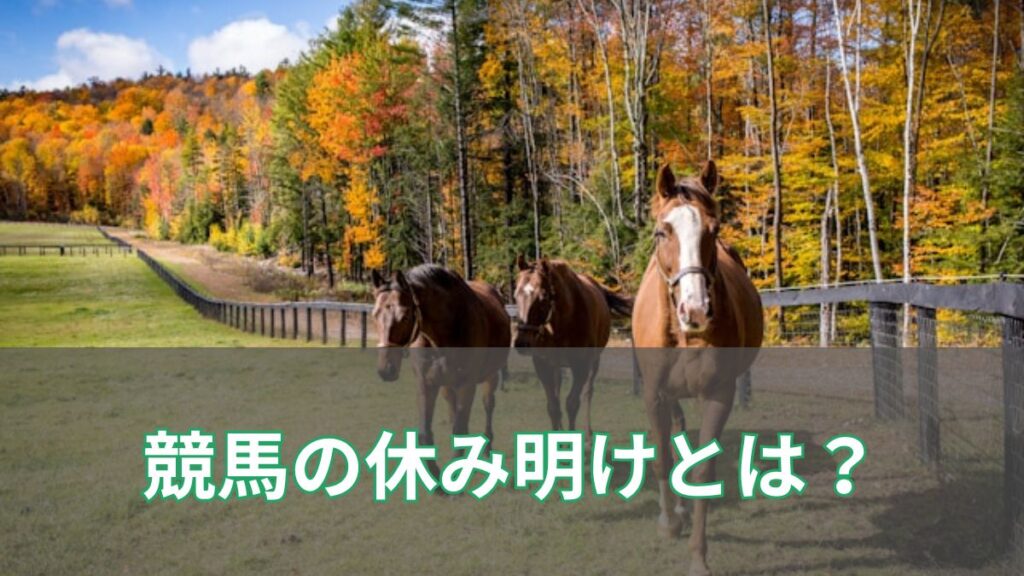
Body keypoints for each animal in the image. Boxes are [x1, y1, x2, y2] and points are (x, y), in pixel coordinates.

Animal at [371, 264, 511, 473]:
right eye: (375, 315)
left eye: (405, 316)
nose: (385, 369)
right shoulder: (427, 384)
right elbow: (425, 433)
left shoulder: (467, 385)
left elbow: (460, 429)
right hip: (446, 386)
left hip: (491, 376)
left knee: (488, 405)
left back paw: (487, 446)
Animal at [512, 256, 632, 446]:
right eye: (516, 295)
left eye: (543, 296)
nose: (522, 342)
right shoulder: (542, 365)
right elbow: (553, 406)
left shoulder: (581, 366)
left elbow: (572, 403)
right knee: (558, 390)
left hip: (594, 362)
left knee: (588, 393)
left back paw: (589, 435)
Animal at [632, 161, 763, 576]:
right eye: (663, 230)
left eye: (713, 229)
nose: (696, 309)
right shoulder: (654, 395)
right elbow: (661, 457)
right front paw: (669, 522)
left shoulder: (719, 395)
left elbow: (703, 471)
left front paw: (698, 558)